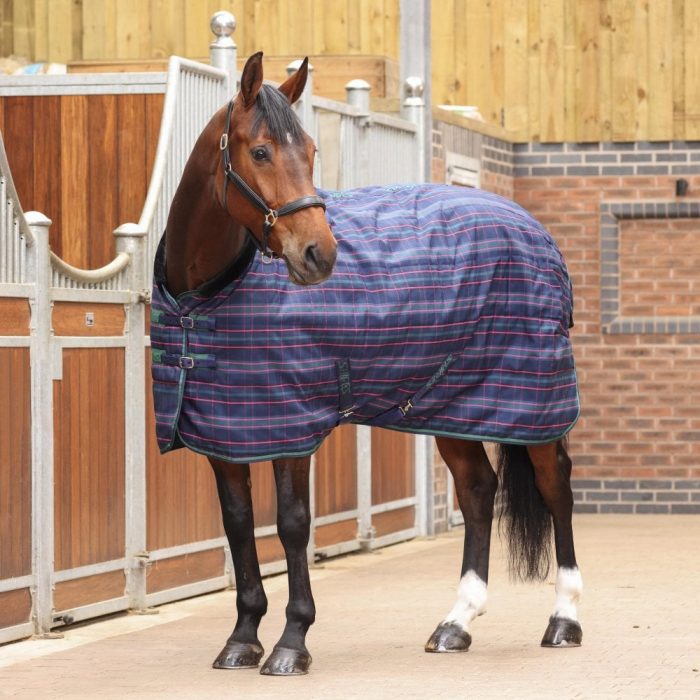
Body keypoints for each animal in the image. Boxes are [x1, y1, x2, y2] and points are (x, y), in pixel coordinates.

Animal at [151, 51, 583, 676]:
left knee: (556, 488)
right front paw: (242, 639)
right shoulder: (225, 432)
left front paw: (291, 643)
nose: (319, 255)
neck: (204, 296)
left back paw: (564, 620)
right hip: (451, 404)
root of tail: (533, 229)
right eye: (260, 152)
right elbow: (237, 524)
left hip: (533, 401)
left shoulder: (290, 427)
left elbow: (292, 525)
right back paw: (455, 624)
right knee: (478, 489)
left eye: (310, 151)